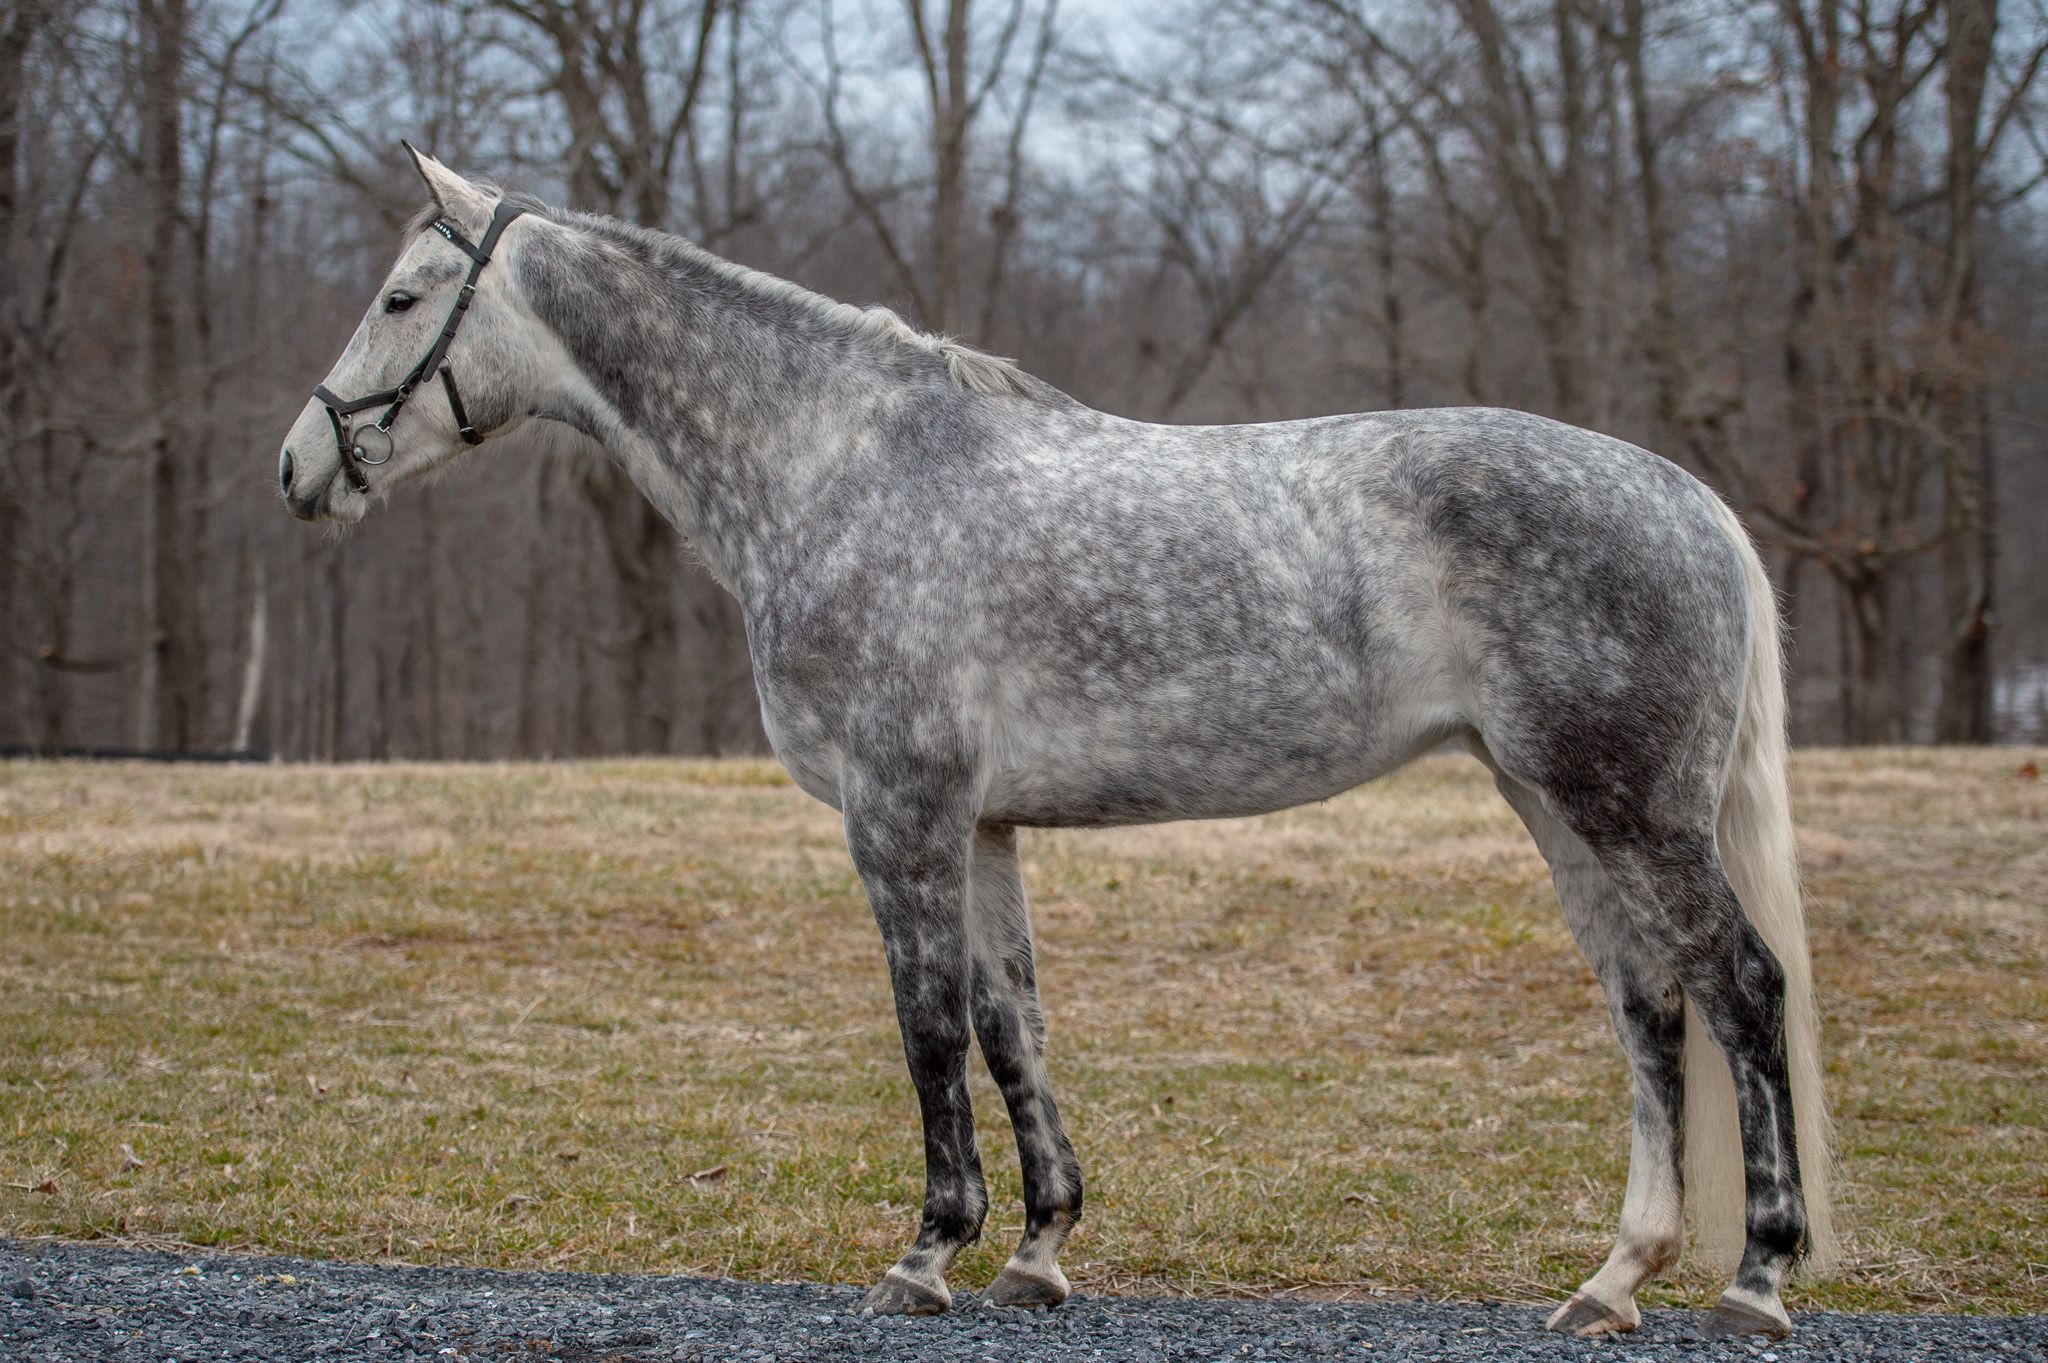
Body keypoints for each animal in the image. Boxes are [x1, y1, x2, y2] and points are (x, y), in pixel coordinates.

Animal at [275, 146, 1837, 1339]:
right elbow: (1010, 1021)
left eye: (403, 295)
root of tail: (1684, 496)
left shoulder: (898, 815)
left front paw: (926, 1252)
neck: (843, 471)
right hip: (1559, 806)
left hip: (1630, 809)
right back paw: (1612, 1278)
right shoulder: (981, 825)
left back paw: (1754, 1278)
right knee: (1648, 1005)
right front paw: (1035, 1250)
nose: (299, 466)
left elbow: (925, 1025)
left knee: (1740, 988)